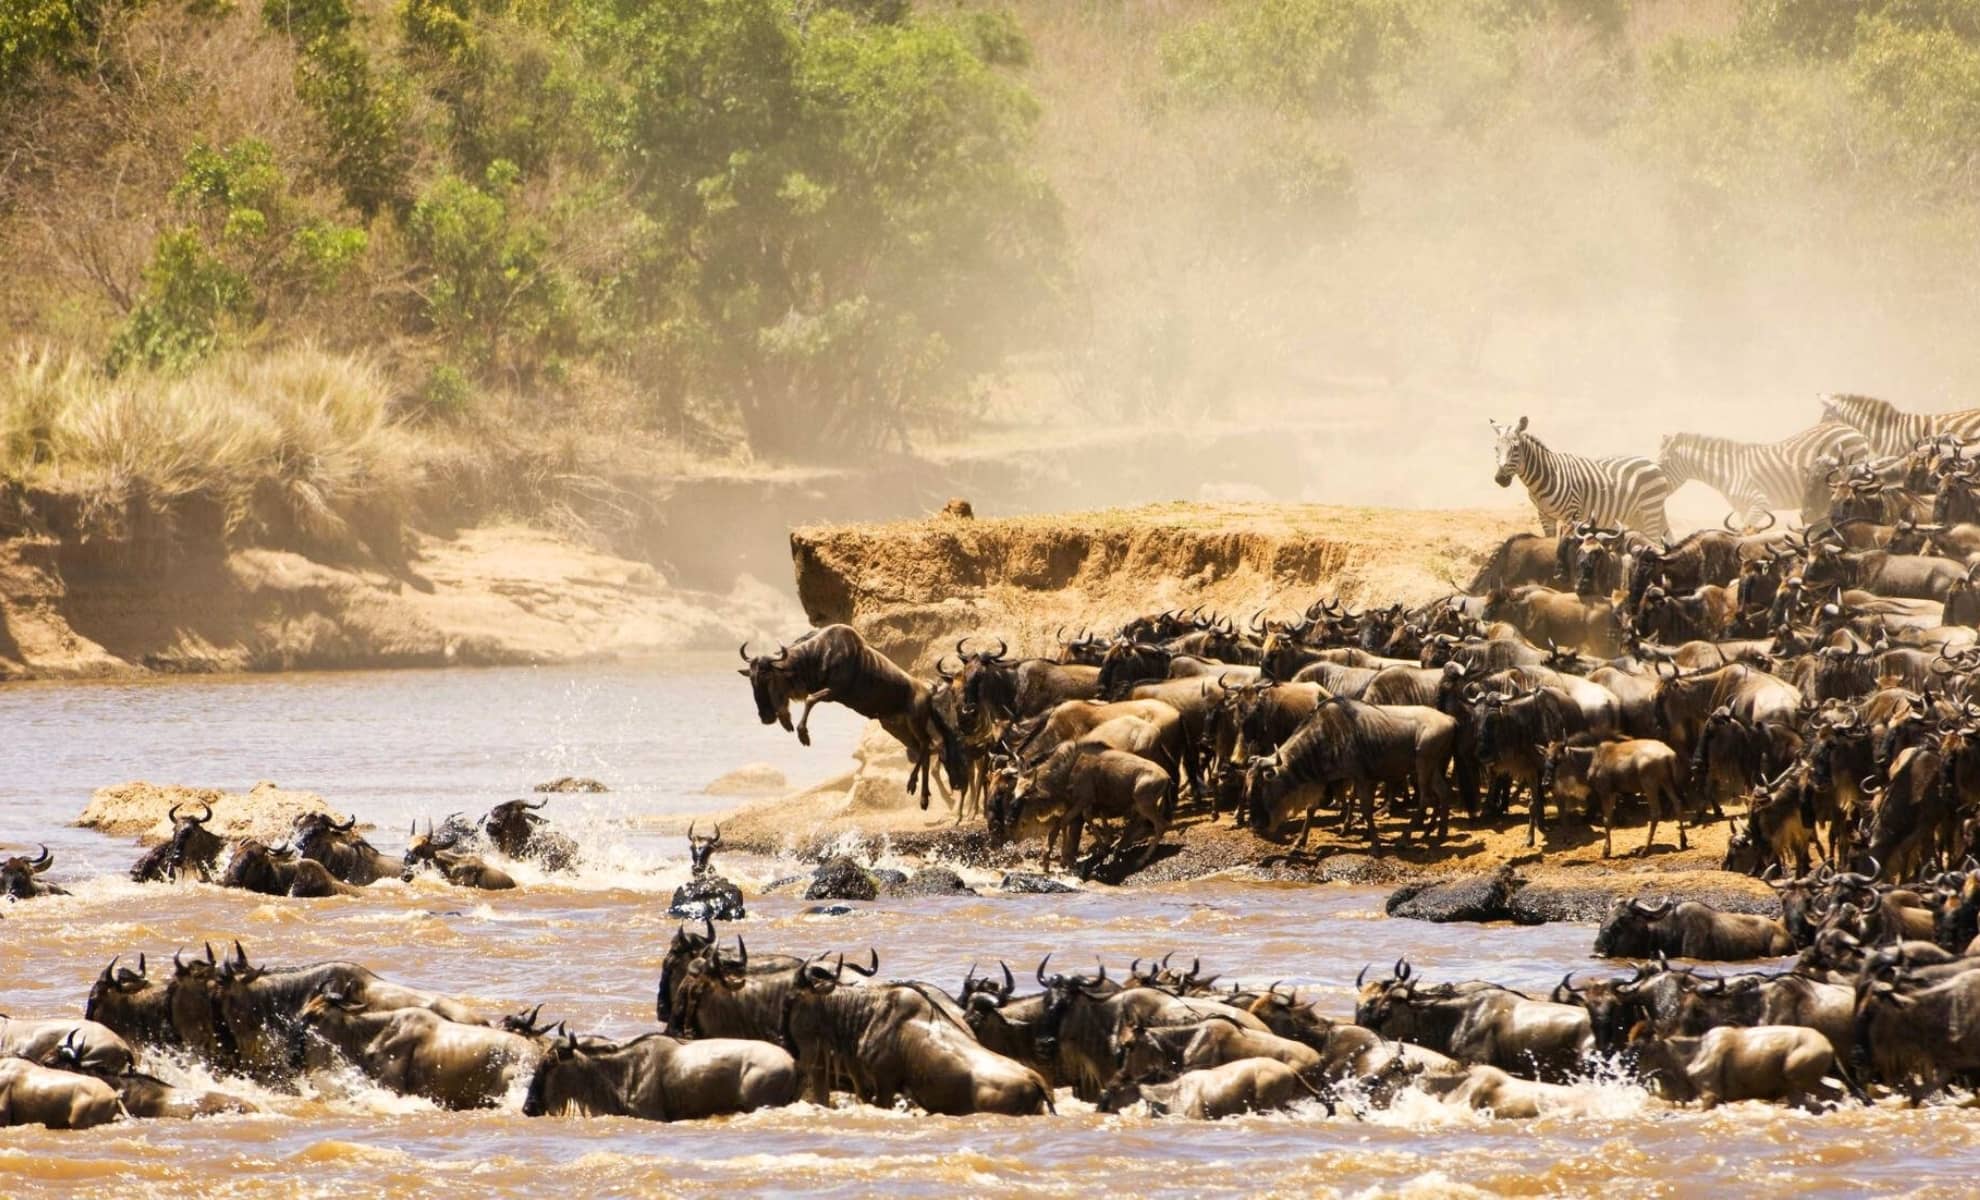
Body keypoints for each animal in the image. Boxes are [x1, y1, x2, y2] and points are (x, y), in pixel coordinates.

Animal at [1488, 417, 1671, 542]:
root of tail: (1652, 463)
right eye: (1496, 448)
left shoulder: (1572, 515)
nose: (1500, 479)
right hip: (1636, 515)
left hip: (1650, 510)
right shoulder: (1545, 516)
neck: (1545, 476)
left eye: (1515, 448)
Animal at [1655, 423, 1869, 526]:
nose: (1657, 492)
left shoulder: (1759, 504)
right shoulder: (1742, 510)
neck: (1730, 472)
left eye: (1662, 464)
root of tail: (1855, 430)